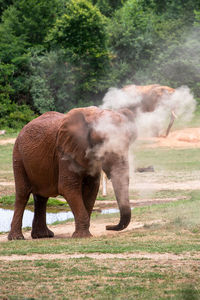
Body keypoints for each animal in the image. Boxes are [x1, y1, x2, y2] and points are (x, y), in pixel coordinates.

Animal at [7, 106, 136, 240]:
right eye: (101, 142)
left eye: (130, 141)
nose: (108, 226)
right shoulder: (65, 152)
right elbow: (68, 187)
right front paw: (83, 236)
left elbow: (91, 189)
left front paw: (82, 234)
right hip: (18, 156)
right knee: (23, 194)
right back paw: (17, 238)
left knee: (41, 198)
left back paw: (43, 235)